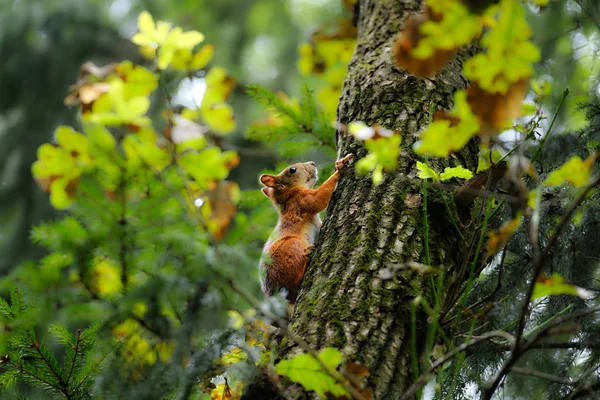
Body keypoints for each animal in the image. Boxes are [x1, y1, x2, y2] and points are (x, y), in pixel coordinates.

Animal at [258, 154, 354, 304]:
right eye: (292, 170)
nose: (313, 163)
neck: (288, 195)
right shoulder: (300, 200)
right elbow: (318, 198)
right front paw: (340, 167)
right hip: (291, 247)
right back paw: (308, 255)